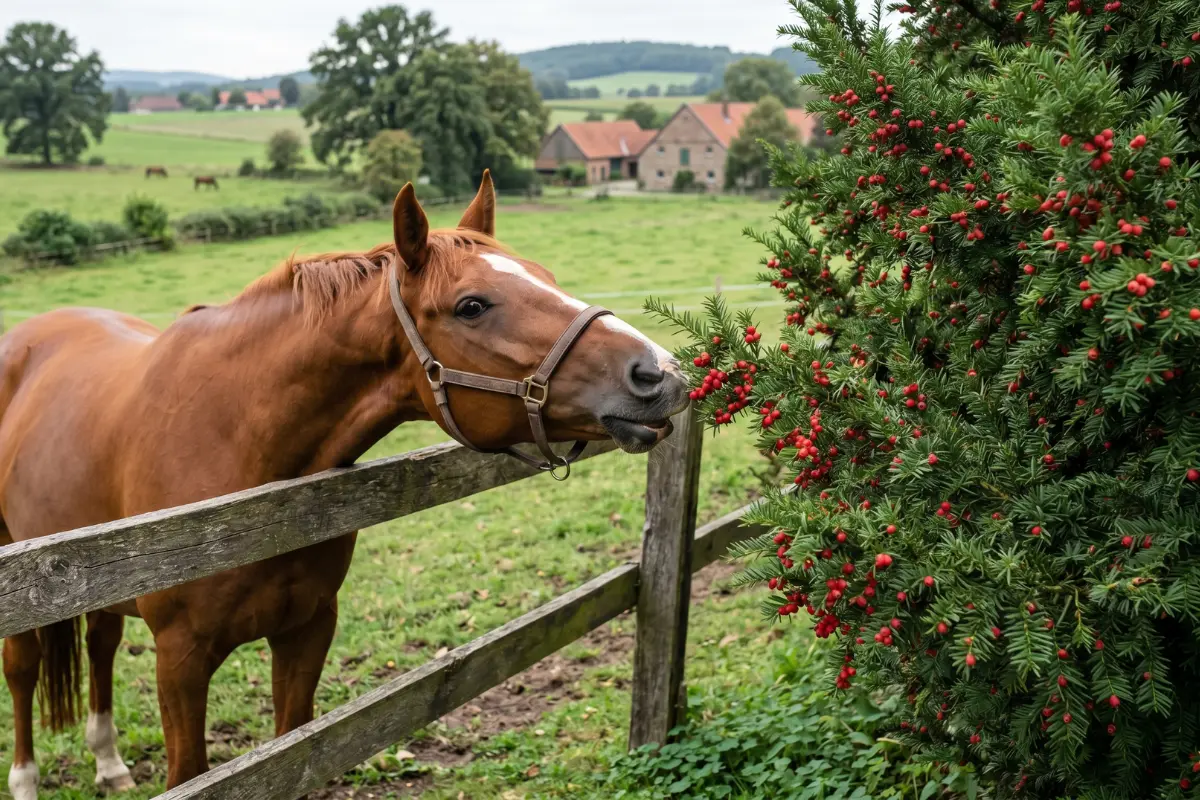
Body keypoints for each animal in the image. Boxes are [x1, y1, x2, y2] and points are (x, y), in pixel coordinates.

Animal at [0, 171, 687, 799]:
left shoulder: (307, 632)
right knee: (24, 669)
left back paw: (108, 762)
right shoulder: (180, 660)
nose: (660, 373)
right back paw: (28, 780)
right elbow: (187, 772)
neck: (242, 463)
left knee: (101, 643)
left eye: (545, 274)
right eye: (472, 305)